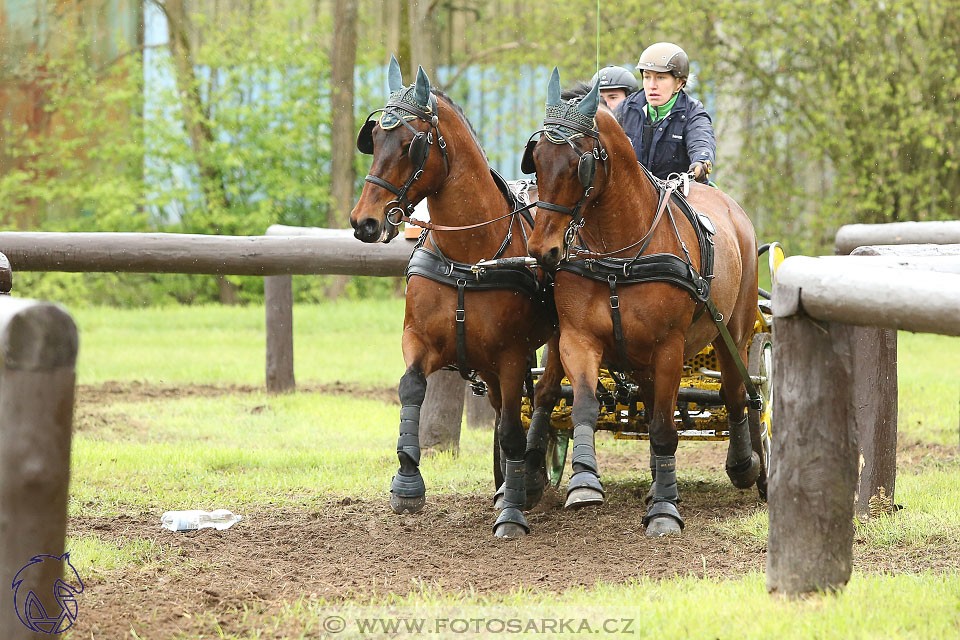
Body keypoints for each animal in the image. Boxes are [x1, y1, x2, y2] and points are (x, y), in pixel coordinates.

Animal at [350, 57, 564, 540]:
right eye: (372, 140)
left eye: (409, 145)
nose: (364, 222)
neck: (469, 257)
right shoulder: (420, 340)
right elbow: (411, 387)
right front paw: (407, 483)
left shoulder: (510, 355)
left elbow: (512, 429)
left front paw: (513, 511)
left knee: (544, 397)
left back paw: (531, 476)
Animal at [520, 67, 760, 536]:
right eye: (534, 159)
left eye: (578, 165)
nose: (543, 250)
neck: (619, 254)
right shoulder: (578, 338)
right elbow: (584, 404)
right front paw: (584, 481)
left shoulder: (669, 348)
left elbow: (667, 427)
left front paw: (665, 511)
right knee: (563, 395)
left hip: (733, 333)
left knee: (738, 392)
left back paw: (746, 465)